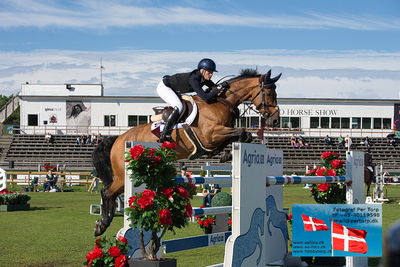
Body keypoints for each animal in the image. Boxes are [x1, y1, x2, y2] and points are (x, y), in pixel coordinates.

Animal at [93, 69, 282, 237]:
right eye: (269, 93)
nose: (275, 120)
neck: (221, 103)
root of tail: (119, 139)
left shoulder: (217, 135)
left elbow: (243, 135)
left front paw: (224, 155)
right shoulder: (211, 135)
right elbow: (241, 132)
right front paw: (225, 154)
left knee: (111, 193)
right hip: (122, 175)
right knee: (107, 192)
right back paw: (102, 224)